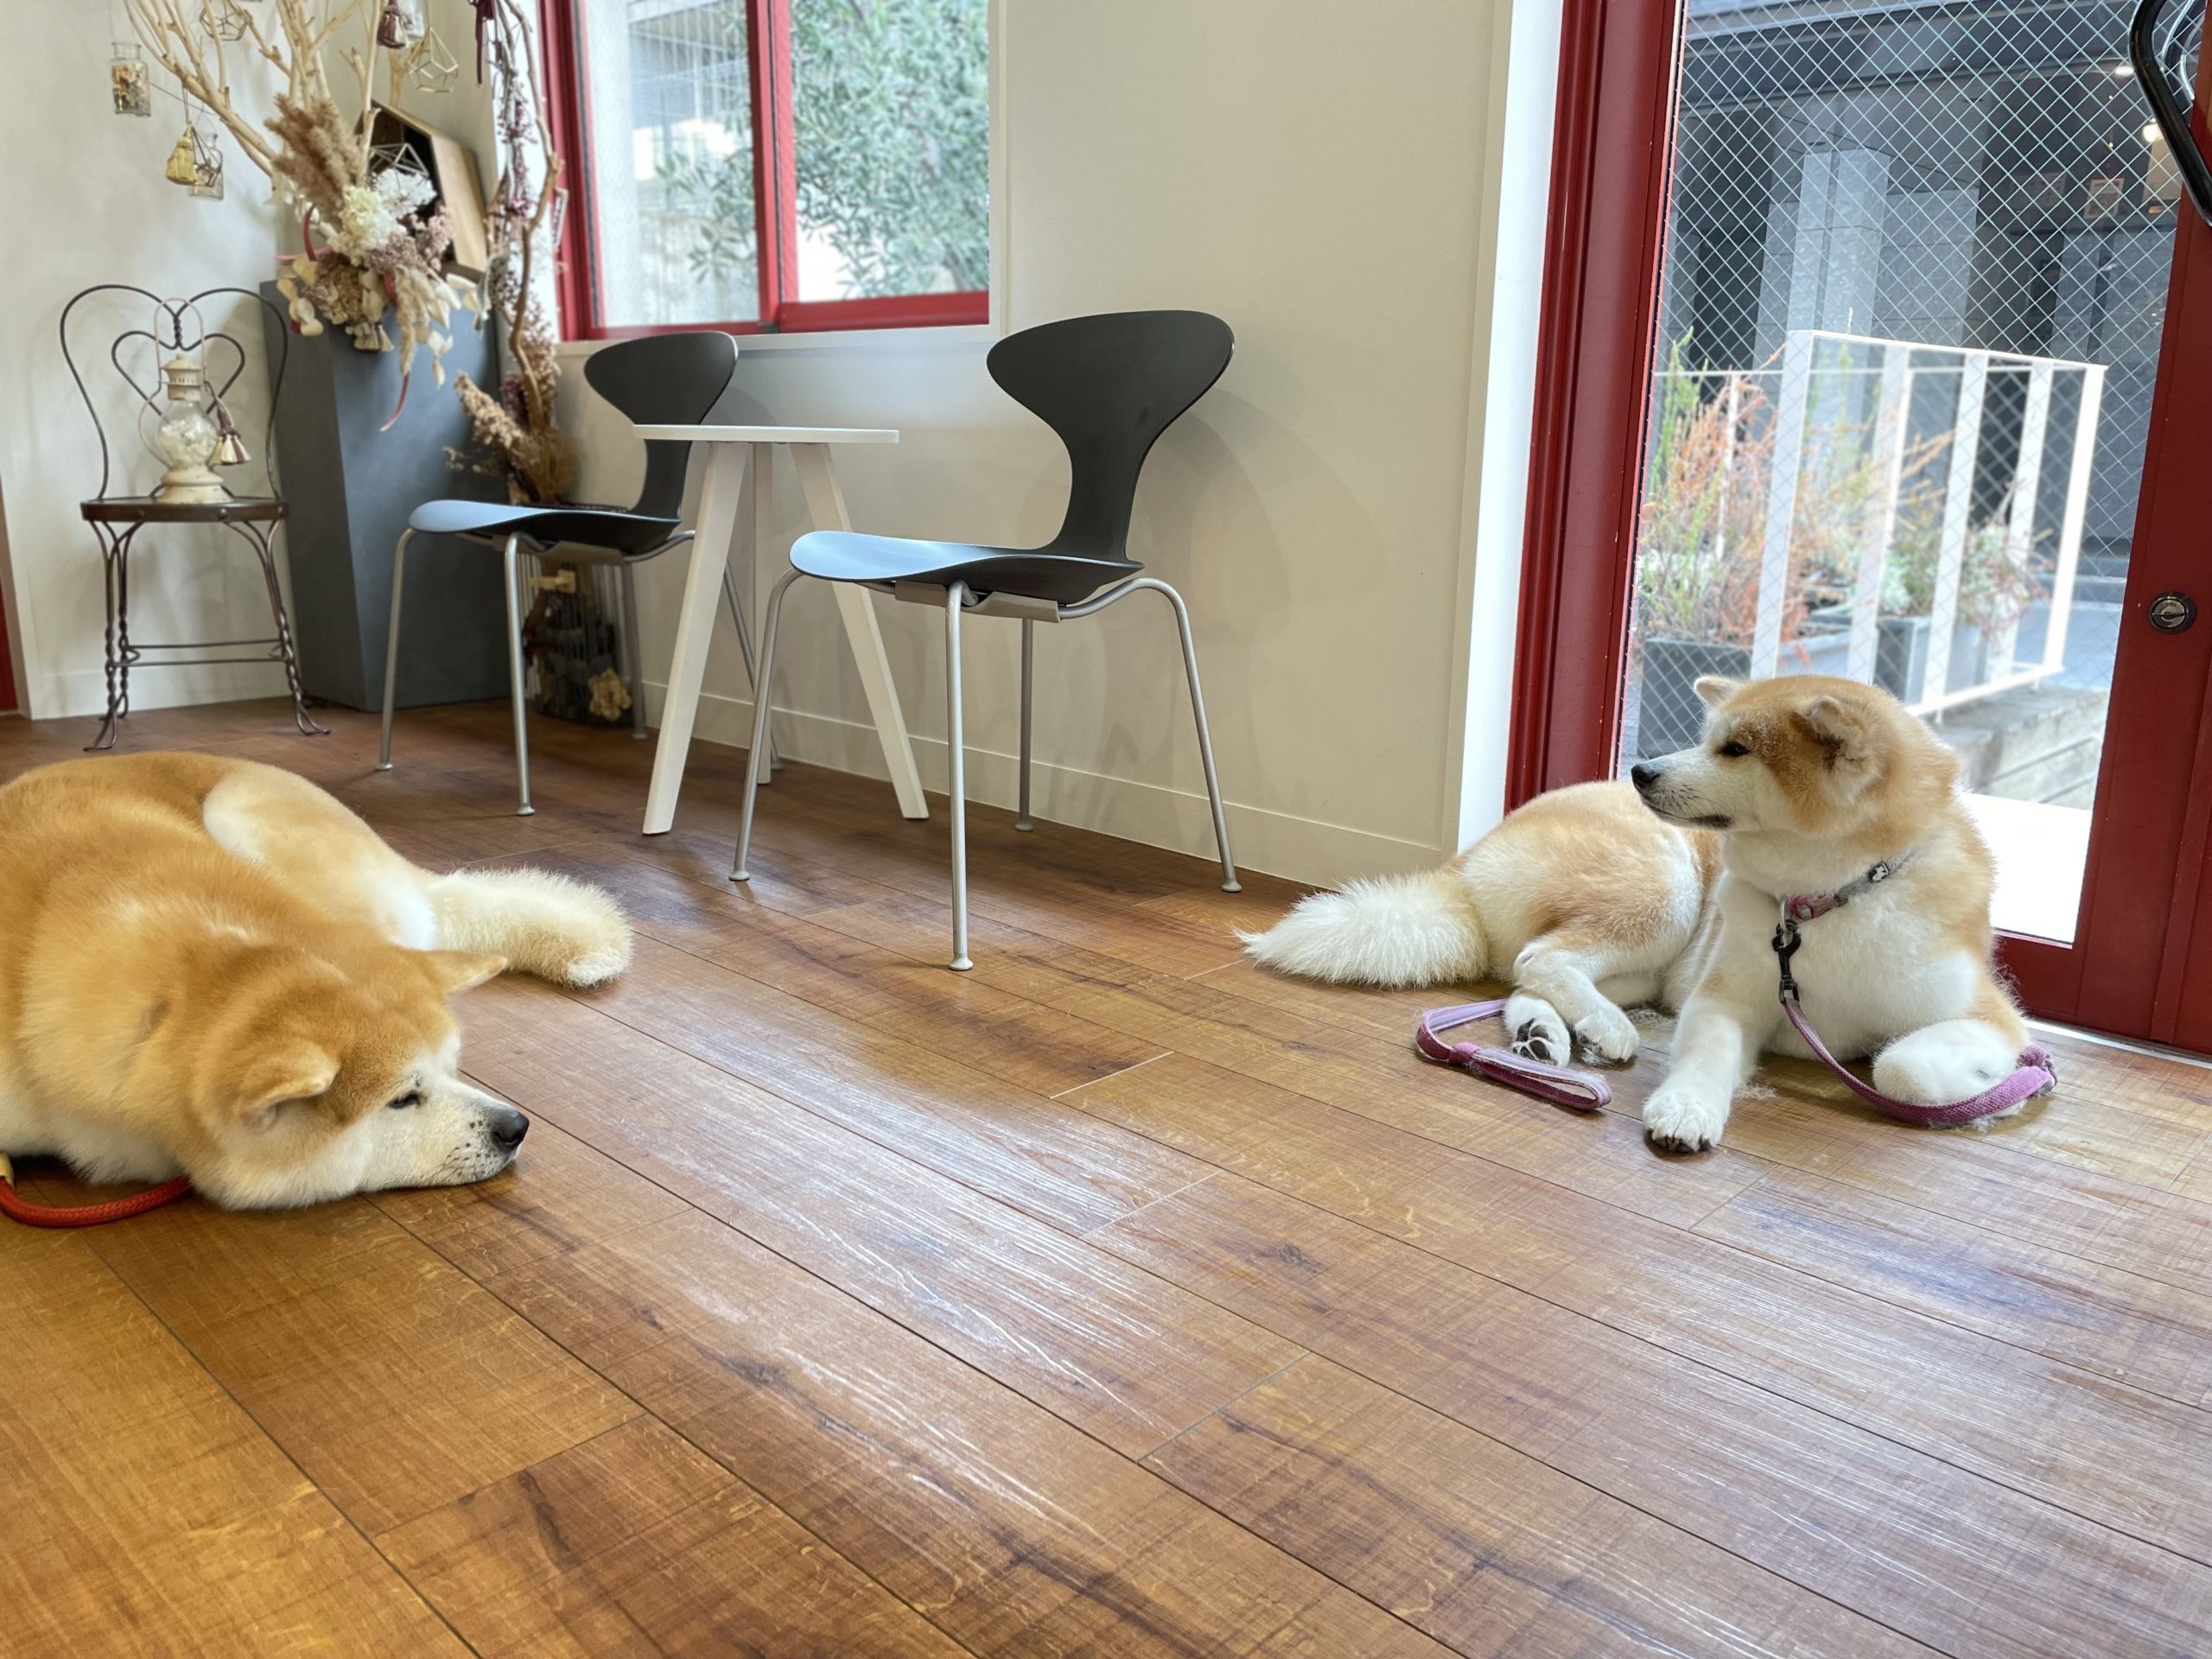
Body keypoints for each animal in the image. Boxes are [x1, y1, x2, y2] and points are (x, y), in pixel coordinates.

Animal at [1244, 674, 2033, 1151]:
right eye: (1710, 736)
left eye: (1735, 749)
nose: (1642, 769)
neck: (1826, 902)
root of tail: (1469, 857)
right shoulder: (1724, 999)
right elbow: (1709, 1058)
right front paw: (1686, 1110)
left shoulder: (1989, 1018)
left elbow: (1904, 1067)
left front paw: (1987, 1090)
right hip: (1666, 887)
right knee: (1542, 958)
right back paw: (1599, 1030)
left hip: (1654, 959)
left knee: (1527, 976)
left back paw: (1544, 1036)